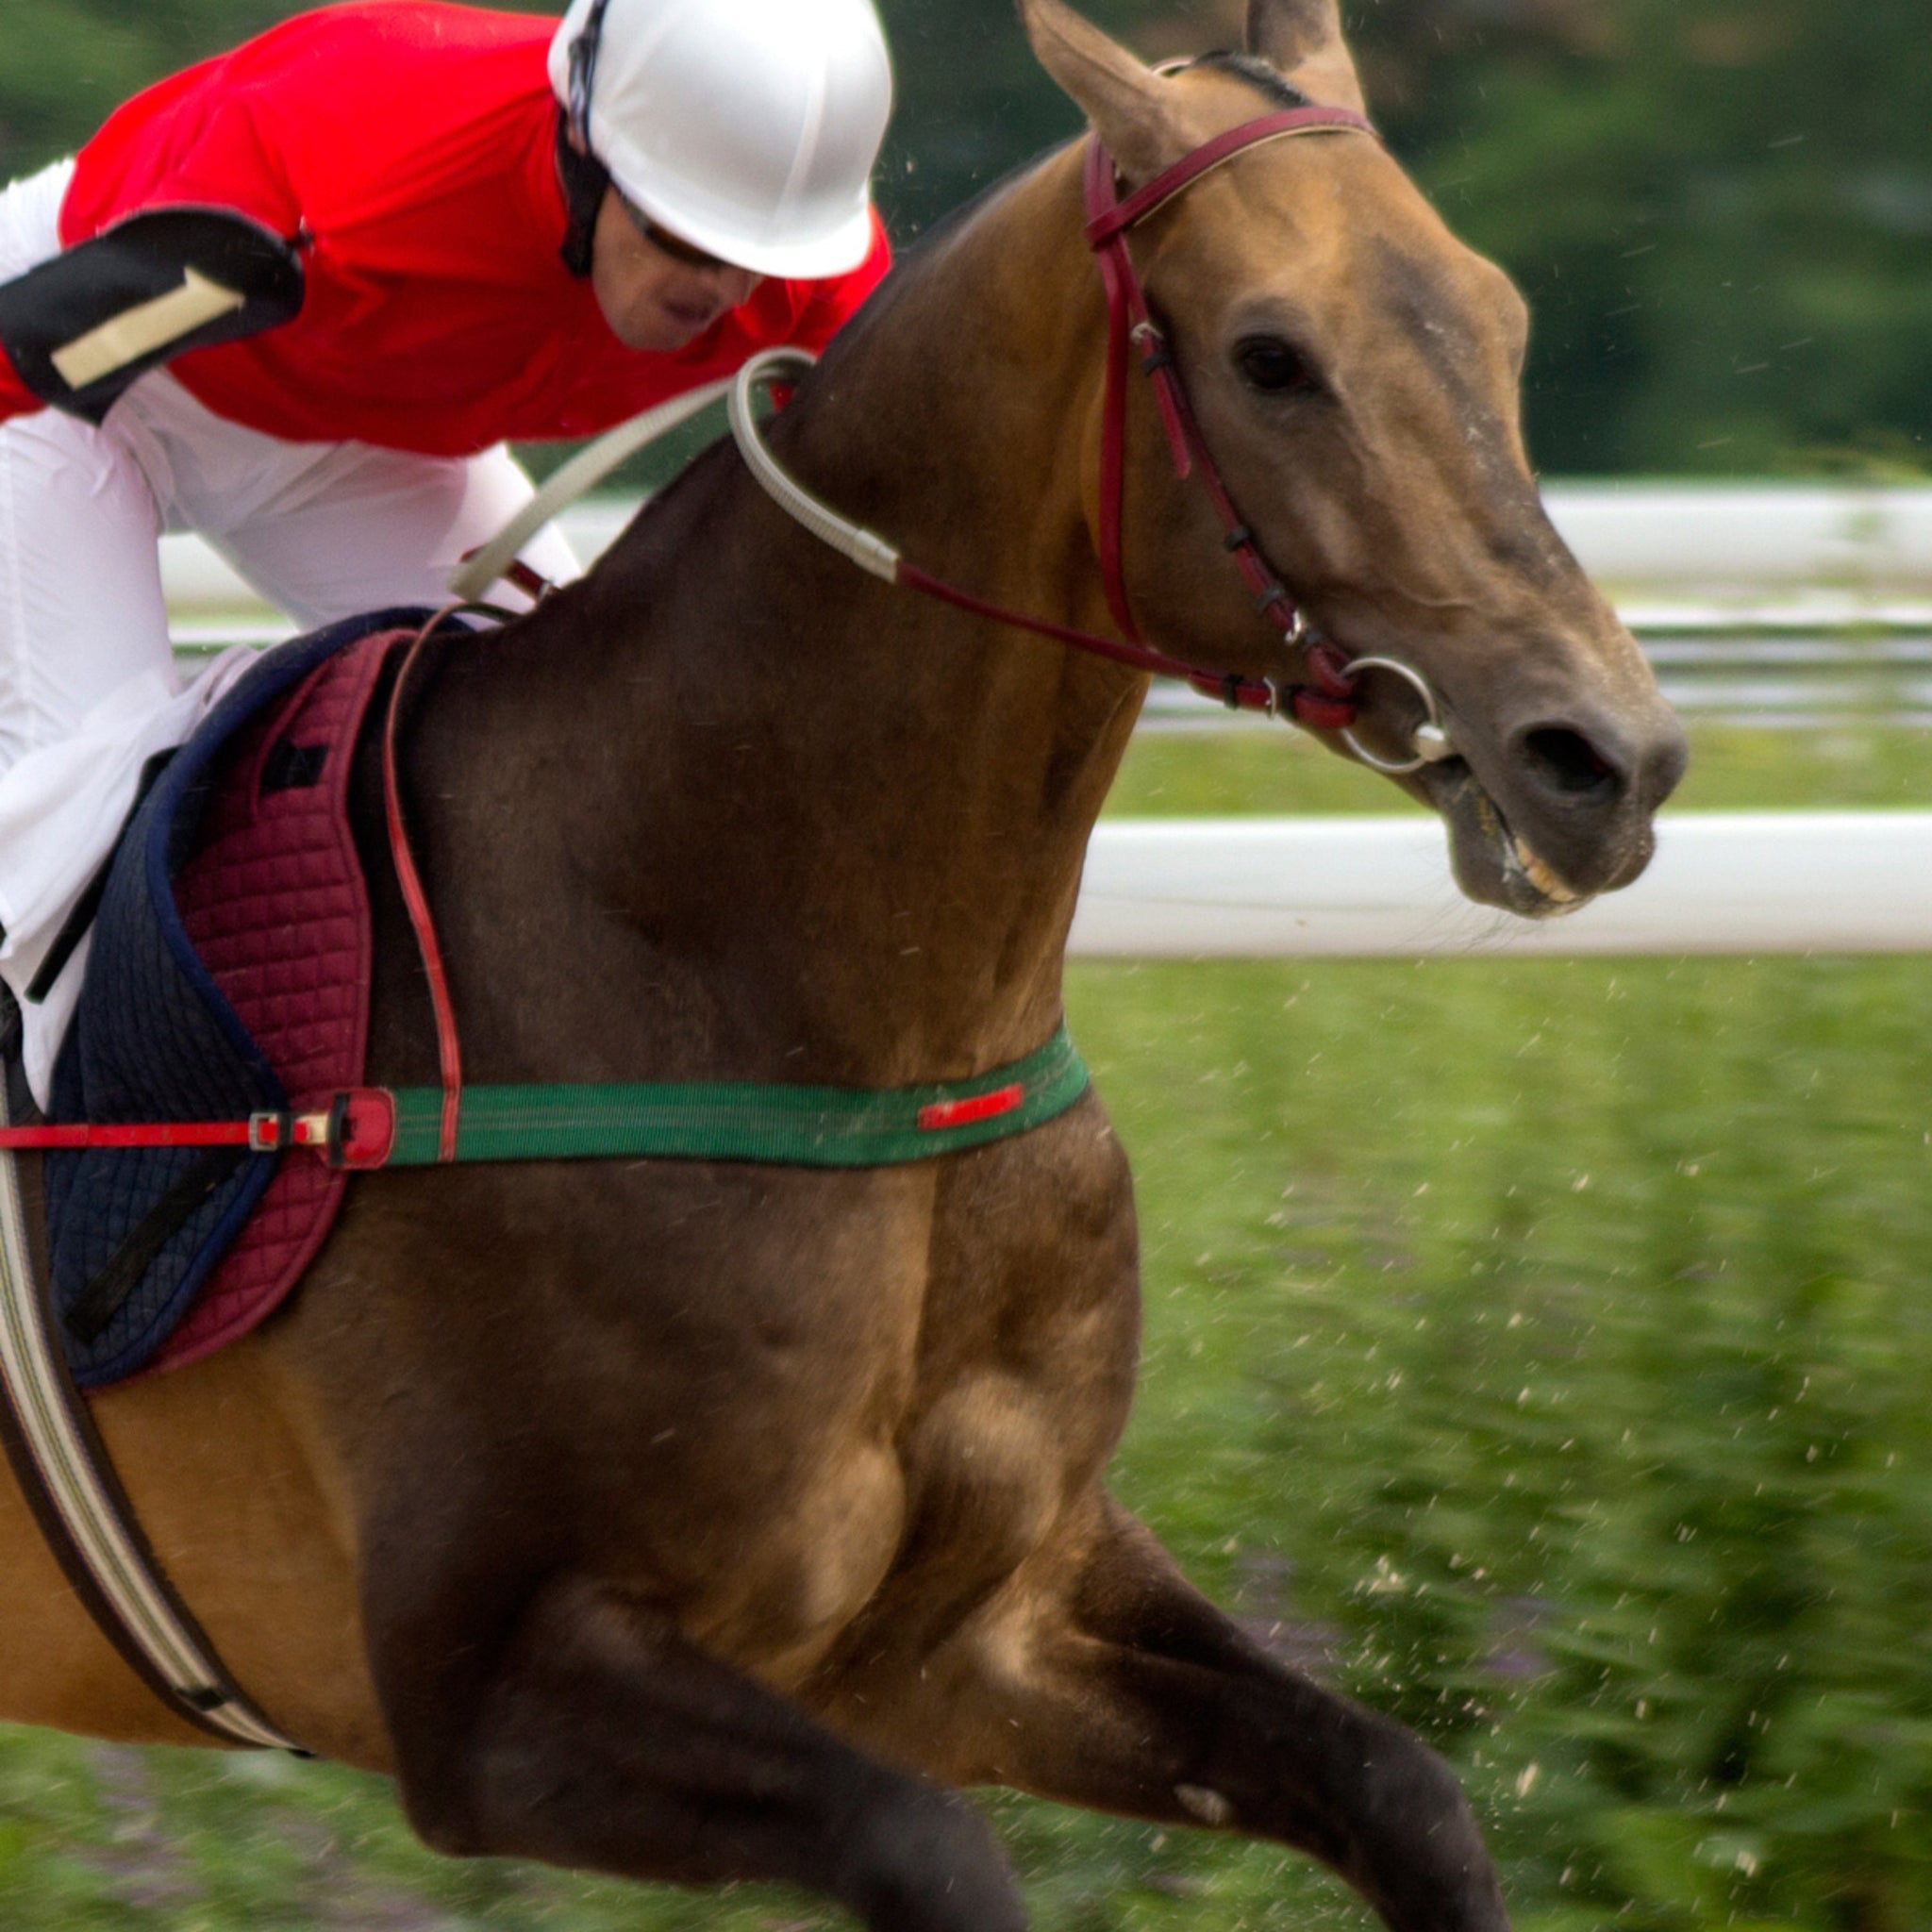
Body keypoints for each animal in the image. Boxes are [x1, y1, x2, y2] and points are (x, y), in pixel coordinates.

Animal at [0, 1, 1687, 1927]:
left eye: (1501, 316)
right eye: (1271, 357)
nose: (1607, 763)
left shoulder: (973, 1627)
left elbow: (1399, 1785)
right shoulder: (492, 1691)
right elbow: (931, 1848)